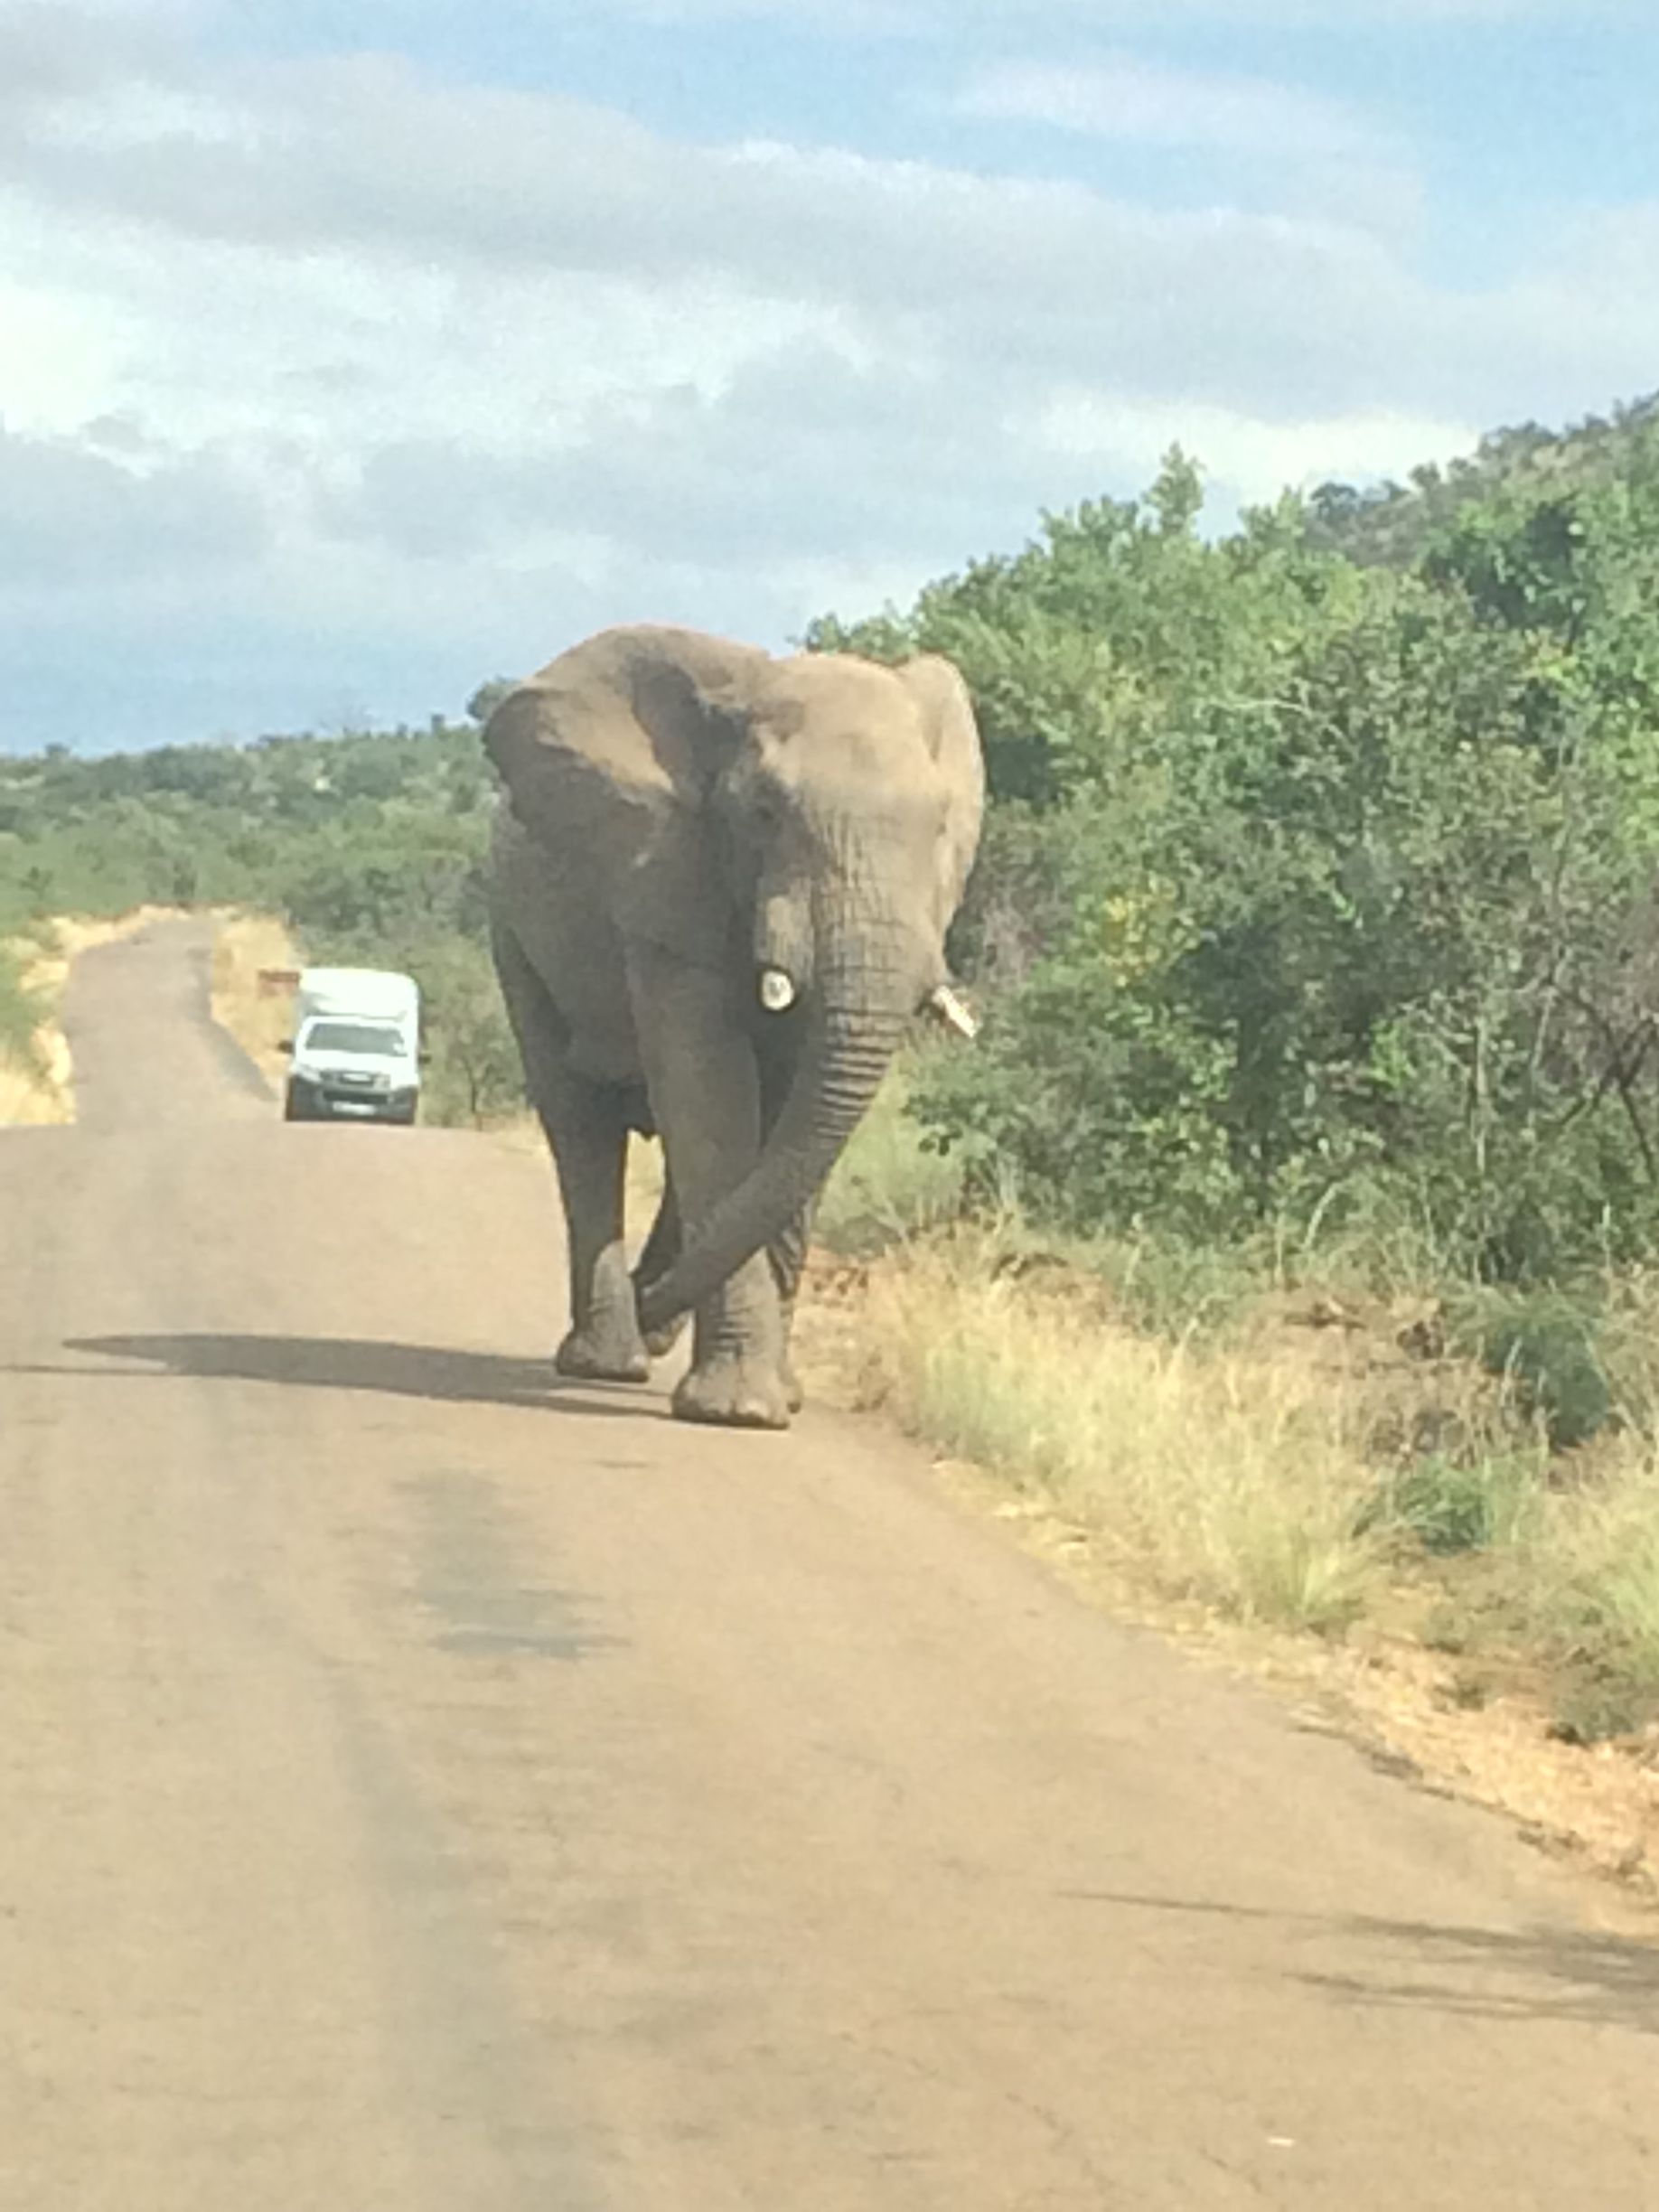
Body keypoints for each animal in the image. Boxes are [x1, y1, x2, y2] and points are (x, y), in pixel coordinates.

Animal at [483, 623, 984, 1430]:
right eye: (765, 815)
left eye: (940, 827)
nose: (650, 1303)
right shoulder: (671, 884)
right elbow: (712, 1097)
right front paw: (739, 1411)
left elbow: (785, 1127)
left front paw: (776, 1400)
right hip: (514, 933)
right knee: (579, 1122)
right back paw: (611, 1357)